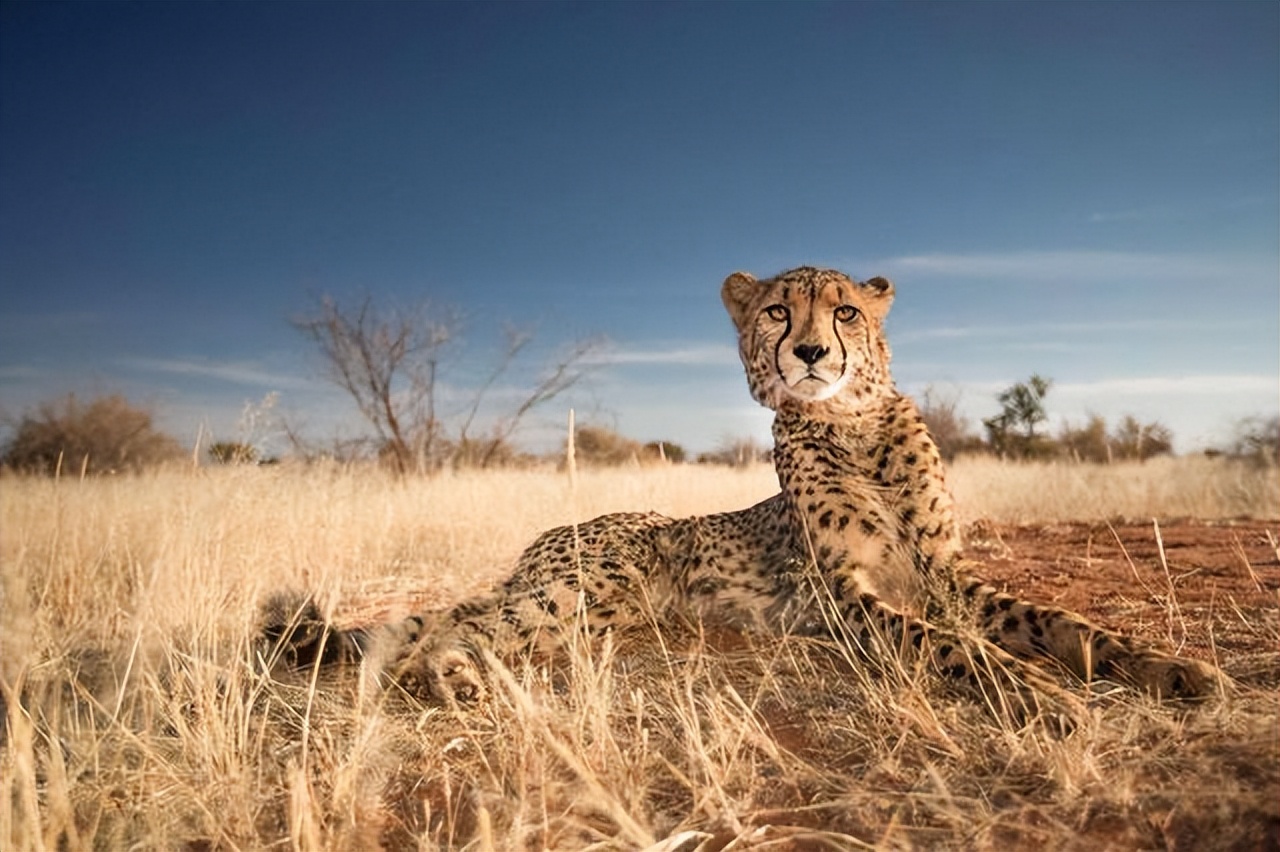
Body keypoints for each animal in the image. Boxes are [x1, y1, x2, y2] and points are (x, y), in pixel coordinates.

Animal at [264, 267, 1223, 716]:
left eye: (845, 311)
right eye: (776, 312)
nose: (810, 352)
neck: (851, 424)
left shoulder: (944, 574)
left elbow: (1060, 622)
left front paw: (1164, 667)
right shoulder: (845, 597)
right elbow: (947, 644)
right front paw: (1035, 692)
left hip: (597, 612)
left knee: (470, 624)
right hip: (585, 588)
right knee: (452, 622)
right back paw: (452, 679)